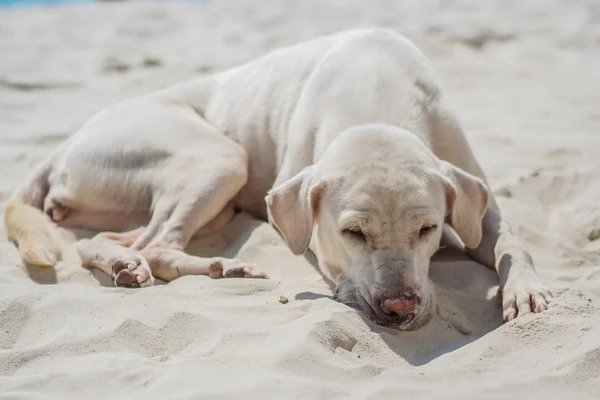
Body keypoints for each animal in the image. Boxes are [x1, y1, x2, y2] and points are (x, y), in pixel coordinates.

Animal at [3, 27, 552, 328]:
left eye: (428, 230)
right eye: (352, 233)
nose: (400, 307)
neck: (376, 102)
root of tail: (65, 142)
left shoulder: (479, 200)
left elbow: (510, 243)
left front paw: (525, 290)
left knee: (106, 241)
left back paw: (127, 263)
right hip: (219, 158)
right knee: (157, 245)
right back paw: (216, 267)